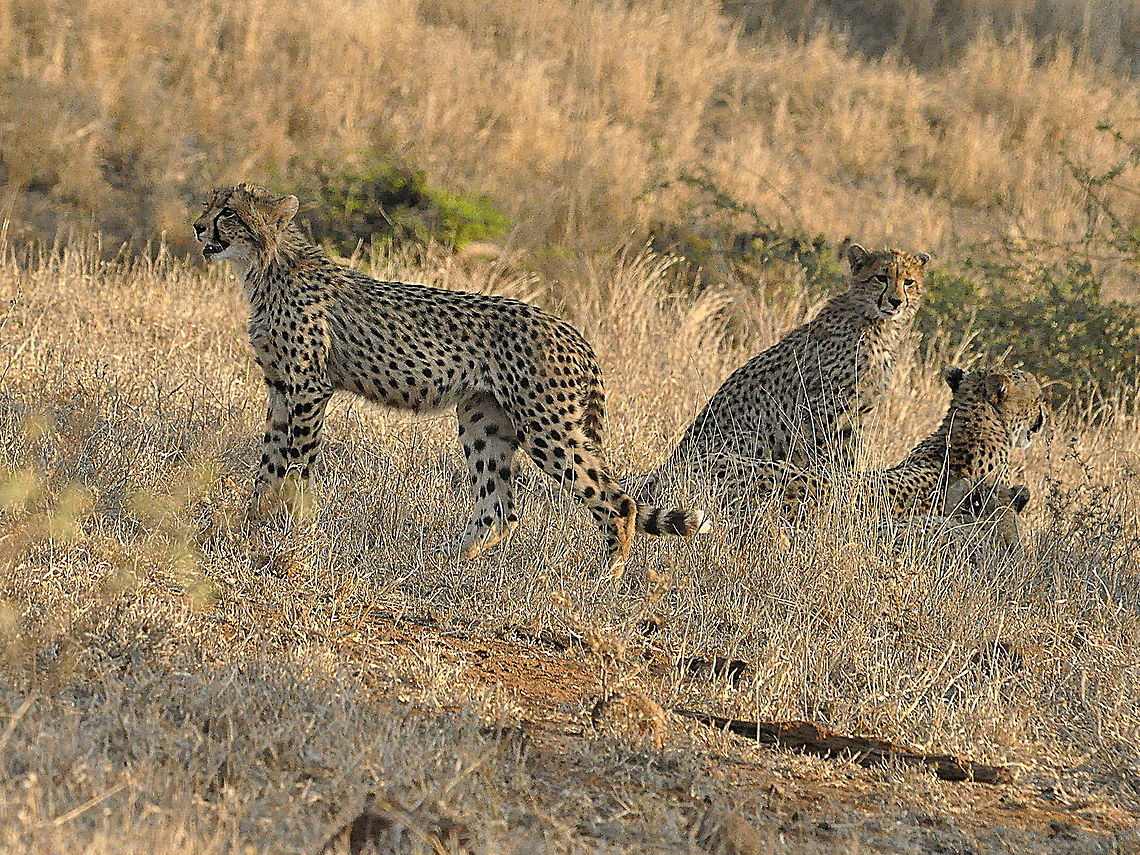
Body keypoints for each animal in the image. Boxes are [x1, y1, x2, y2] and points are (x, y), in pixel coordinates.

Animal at [193, 183, 710, 573]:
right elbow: (267, 465)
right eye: (209, 204)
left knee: (615, 500)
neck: (265, 265)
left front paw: (285, 534)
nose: (197, 225)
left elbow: (294, 467)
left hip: (545, 427)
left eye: (229, 212)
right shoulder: (281, 389)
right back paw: (442, 562)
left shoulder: (308, 388)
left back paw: (606, 577)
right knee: (501, 509)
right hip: (485, 420)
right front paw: (248, 527)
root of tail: (569, 328)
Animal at [641, 241, 929, 502]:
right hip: (753, 437)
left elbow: (847, 458)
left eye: (909, 282)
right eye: (881, 277)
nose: (896, 301)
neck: (876, 323)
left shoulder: (857, 415)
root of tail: (668, 465)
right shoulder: (822, 408)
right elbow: (827, 458)